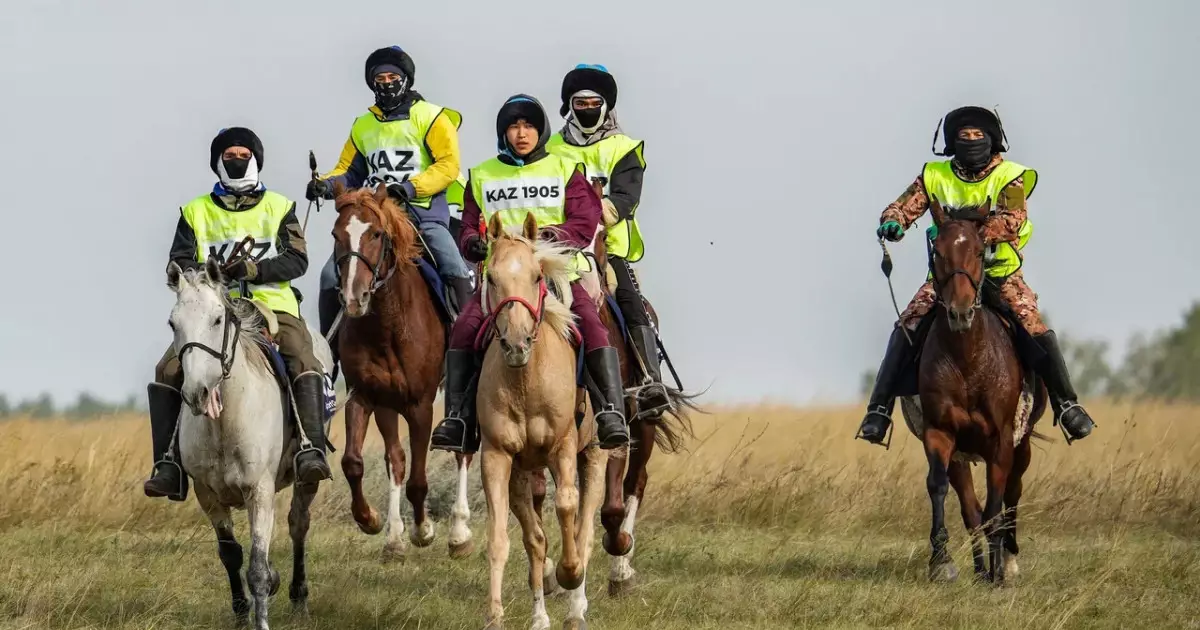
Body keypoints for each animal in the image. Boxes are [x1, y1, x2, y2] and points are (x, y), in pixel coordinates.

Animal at [165, 258, 333, 624]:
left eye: (217, 319)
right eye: (172, 323)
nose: (195, 394)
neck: (224, 426)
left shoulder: (260, 490)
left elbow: (256, 569)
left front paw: (262, 618)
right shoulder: (207, 495)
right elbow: (231, 556)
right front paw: (242, 614)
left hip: (304, 479)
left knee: (298, 525)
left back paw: (298, 597)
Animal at [333, 180, 477, 554]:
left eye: (377, 234)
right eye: (336, 234)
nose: (354, 298)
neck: (387, 326)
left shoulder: (420, 405)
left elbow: (418, 479)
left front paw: (423, 530)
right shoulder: (366, 397)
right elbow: (357, 462)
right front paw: (373, 521)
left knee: (463, 452)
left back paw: (459, 532)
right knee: (396, 460)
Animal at [475, 213, 609, 624]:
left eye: (537, 276)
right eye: (491, 278)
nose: (516, 345)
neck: (525, 381)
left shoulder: (563, 447)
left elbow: (566, 505)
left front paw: (569, 573)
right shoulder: (497, 456)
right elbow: (500, 538)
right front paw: (494, 617)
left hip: (594, 455)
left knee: (584, 529)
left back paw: (576, 608)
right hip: (521, 471)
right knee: (535, 539)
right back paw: (540, 618)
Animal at [902, 199, 1046, 583]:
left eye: (981, 252)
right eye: (937, 252)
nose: (960, 312)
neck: (968, 360)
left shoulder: (1001, 440)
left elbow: (997, 502)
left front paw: (999, 572)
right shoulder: (940, 435)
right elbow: (941, 489)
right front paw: (942, 563)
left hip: (1022, 446)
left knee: (1012, 496)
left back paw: (1005, 563)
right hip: (962, 456)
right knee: (971, 509)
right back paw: (981, 569)